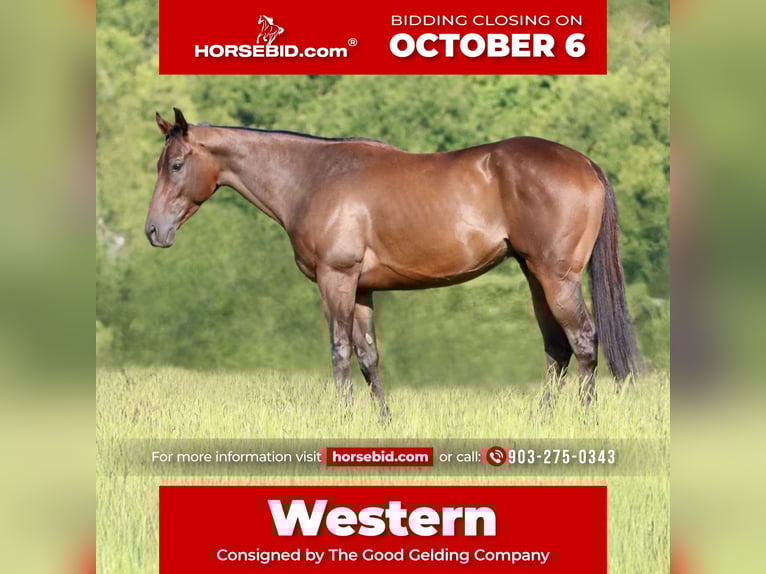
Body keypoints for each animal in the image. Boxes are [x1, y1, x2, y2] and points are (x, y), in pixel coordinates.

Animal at [146, 108, 642, 421]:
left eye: (176, 164)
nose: (153, 230)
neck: (312, 178)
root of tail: (586, 163)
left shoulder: (336, 279)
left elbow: (339, 352)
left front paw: (344, 420)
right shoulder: (363, 288)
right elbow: (369, 357)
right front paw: (382, 422)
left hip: (558, 278)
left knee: (583, 341)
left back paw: (585, 420)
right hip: (535, 276)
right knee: (557, 349)